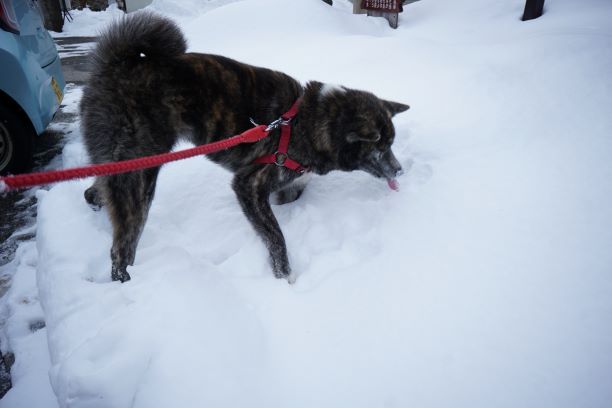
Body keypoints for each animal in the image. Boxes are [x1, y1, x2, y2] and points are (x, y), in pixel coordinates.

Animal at [80, 11, 406, 282]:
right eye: (381, 148)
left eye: (392, 144)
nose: (400, 170)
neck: (310, 120)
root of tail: (115, 64)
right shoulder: (249, 185)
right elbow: (276, 237)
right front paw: (284, 277)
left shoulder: (289, 185)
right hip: (141, 173)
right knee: (121, 247)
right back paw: (126, 280)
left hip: (126, 162)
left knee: (96, 190)